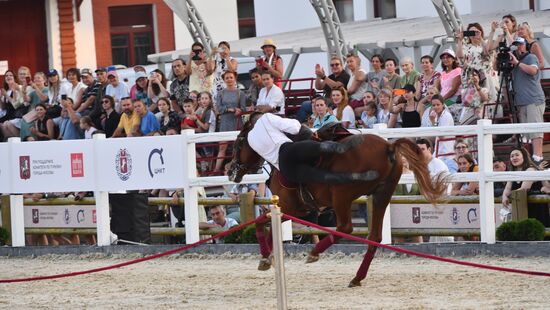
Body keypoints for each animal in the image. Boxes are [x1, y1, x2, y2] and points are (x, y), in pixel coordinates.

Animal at [229, 114, 448, 288]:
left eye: (238, 143)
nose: (231, 170)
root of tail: (388, 145)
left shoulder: (288, 207)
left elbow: (260, 223)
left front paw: (266, 256)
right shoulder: (291, 211)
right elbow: (267, 226)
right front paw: (266, 257)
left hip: (341, 195)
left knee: (345, 228)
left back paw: (314, 252)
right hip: (381, 196)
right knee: (375, 237)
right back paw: (357, 277)